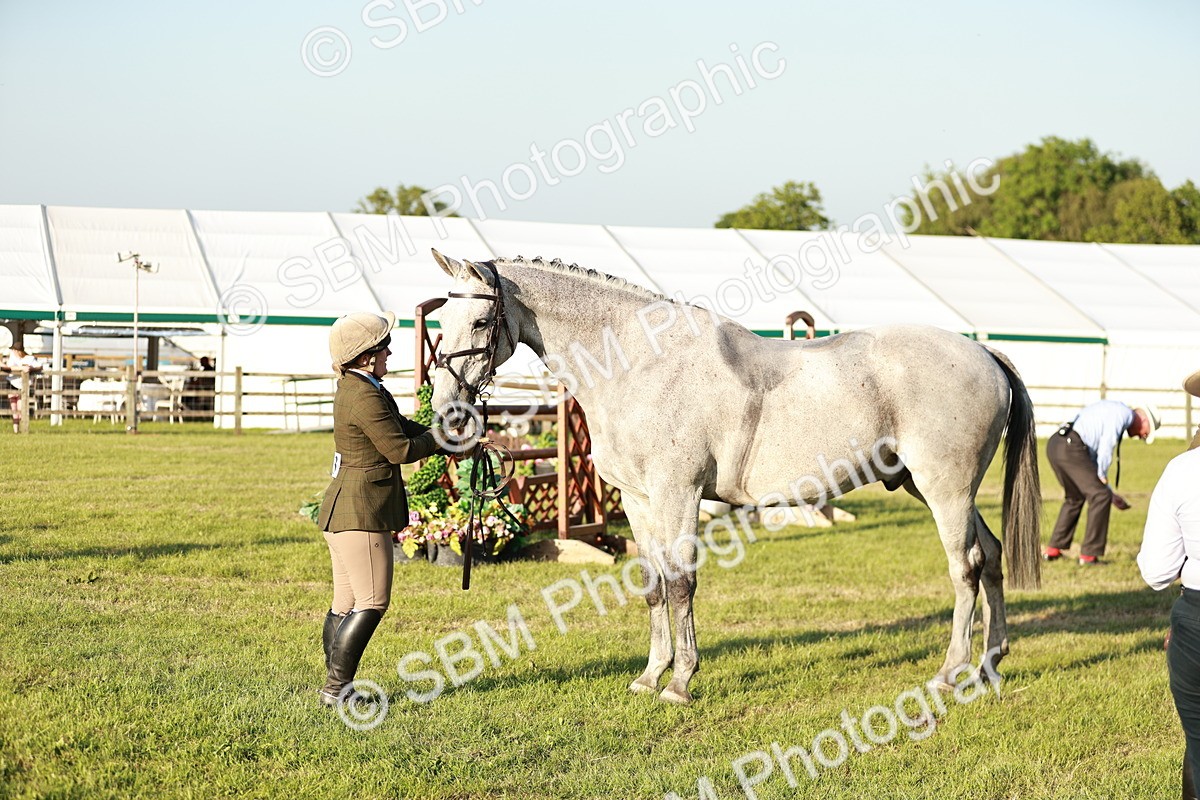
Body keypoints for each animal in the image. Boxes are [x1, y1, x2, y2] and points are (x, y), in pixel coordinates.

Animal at [429, 249, 1041, 704]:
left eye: (479, 321)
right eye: (440, 322)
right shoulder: (638, 499)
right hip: (939, 490)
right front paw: (650, 676)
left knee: (966, 568)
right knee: (991, 555)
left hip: (945, 490)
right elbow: (652, 583)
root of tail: (984, 354)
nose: (448, 412)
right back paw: (990, 665)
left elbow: (681, 582)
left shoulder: (678, 494)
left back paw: (949, 673)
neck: (641, 363)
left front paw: (680, 682)